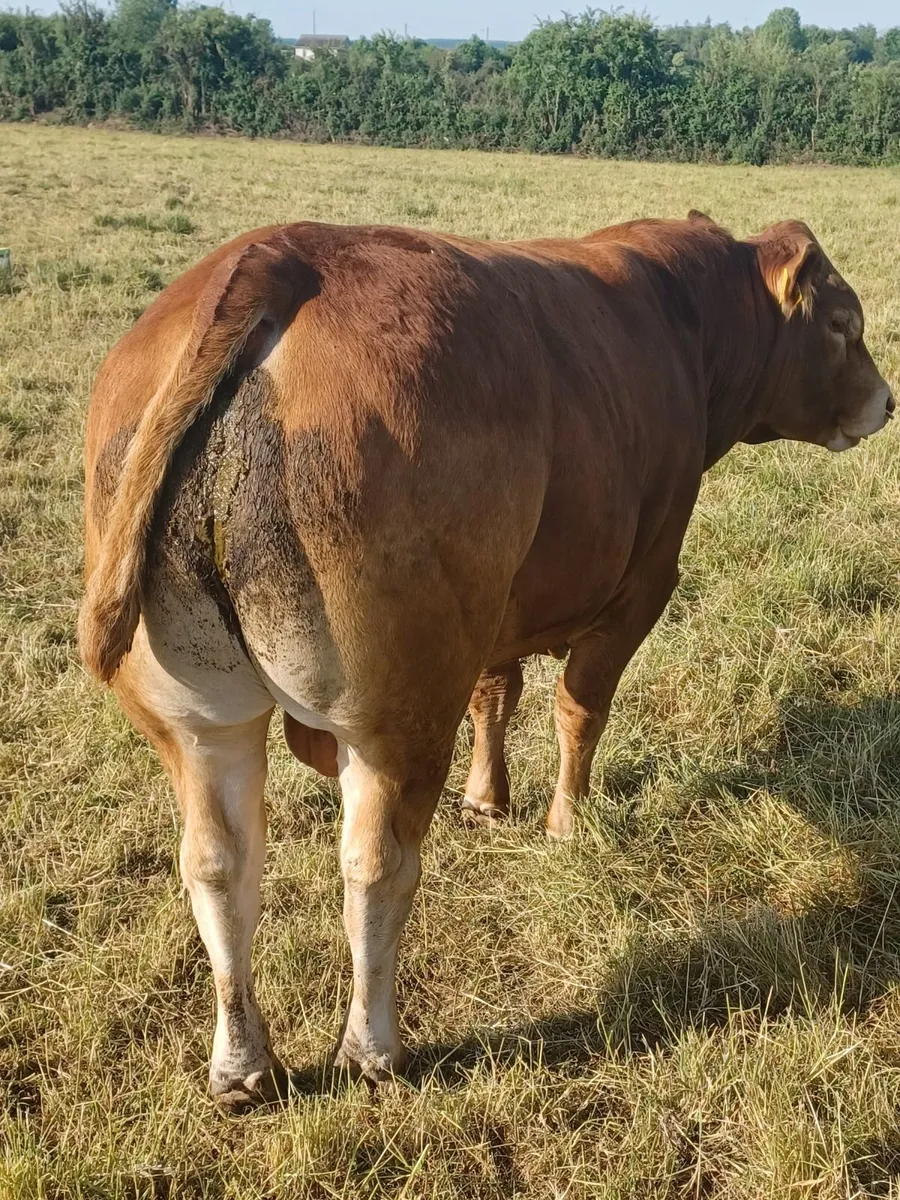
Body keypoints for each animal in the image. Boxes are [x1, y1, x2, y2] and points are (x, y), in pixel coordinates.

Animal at [78, 212, 893, 1110]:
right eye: (841, 324)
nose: (886, 401)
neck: (684, 321)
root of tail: (279, 255)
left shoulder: (498, 608)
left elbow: (497, 695)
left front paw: (486, 799)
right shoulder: (644, 584)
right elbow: (580, 709)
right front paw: (567, 823)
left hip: (198, 722)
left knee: (219, 866)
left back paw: (240, 1066)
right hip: (396, 712)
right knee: (375, 866)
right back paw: (373, 1048)